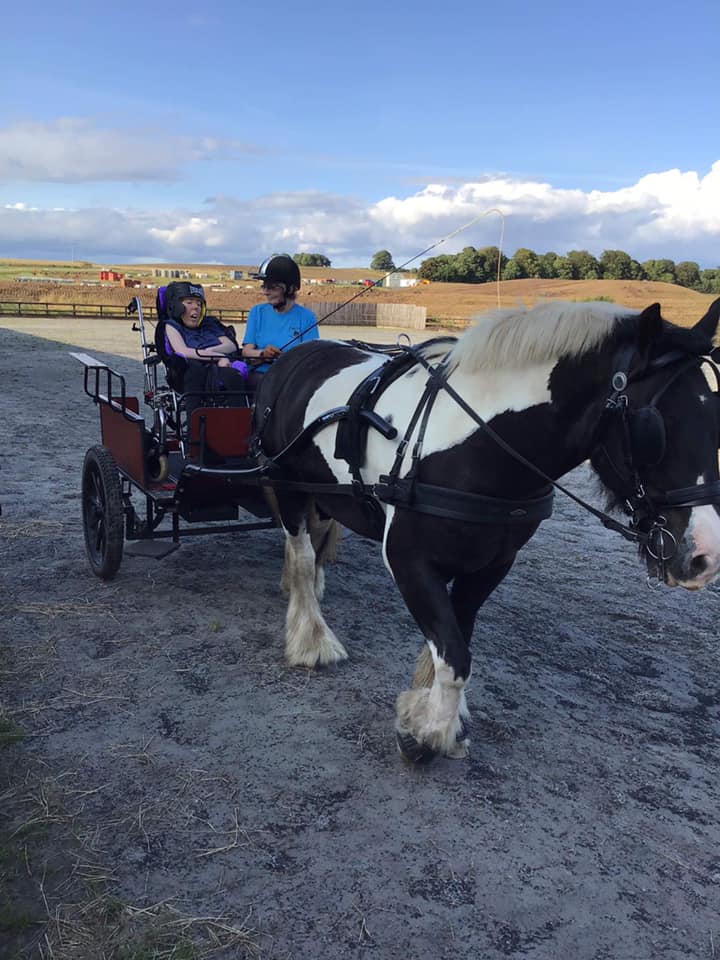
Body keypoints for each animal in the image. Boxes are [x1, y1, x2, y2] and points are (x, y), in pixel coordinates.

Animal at [252, 298, 720, 763]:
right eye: (654, 429)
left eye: (714, 417)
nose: (706, 556)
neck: (479, 445)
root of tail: (292, 355)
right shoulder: (407, 559)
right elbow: (455, 656)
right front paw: (425, 733)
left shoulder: (492, 563)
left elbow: (458, 638)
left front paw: (432, 713)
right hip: (285, 482)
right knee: (301, 551)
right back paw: (311, 637)